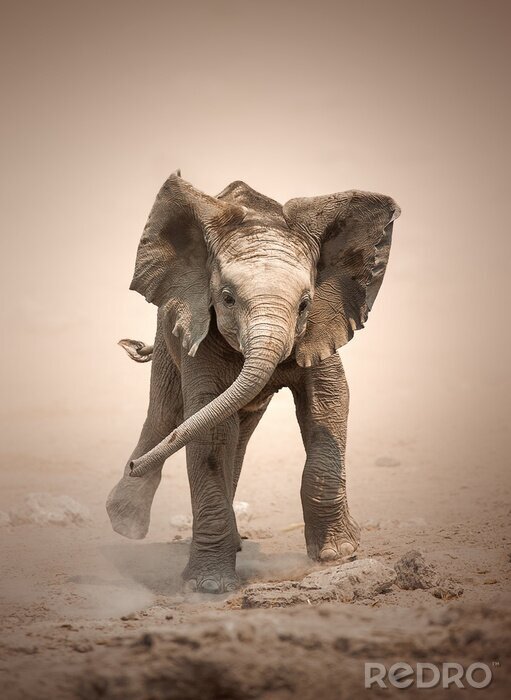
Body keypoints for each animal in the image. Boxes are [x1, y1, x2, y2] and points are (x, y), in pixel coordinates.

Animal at [106, 172, 401, 593]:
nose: (134, 466)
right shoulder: (200, 330)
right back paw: (125, 522)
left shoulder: (323, 324)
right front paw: (210, 588)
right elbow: (207, 429)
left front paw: (338, 554)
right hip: (167, 332)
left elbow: (328, 401)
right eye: (227, 299)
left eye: (305, 304)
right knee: (167, 415)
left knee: (236, 434)